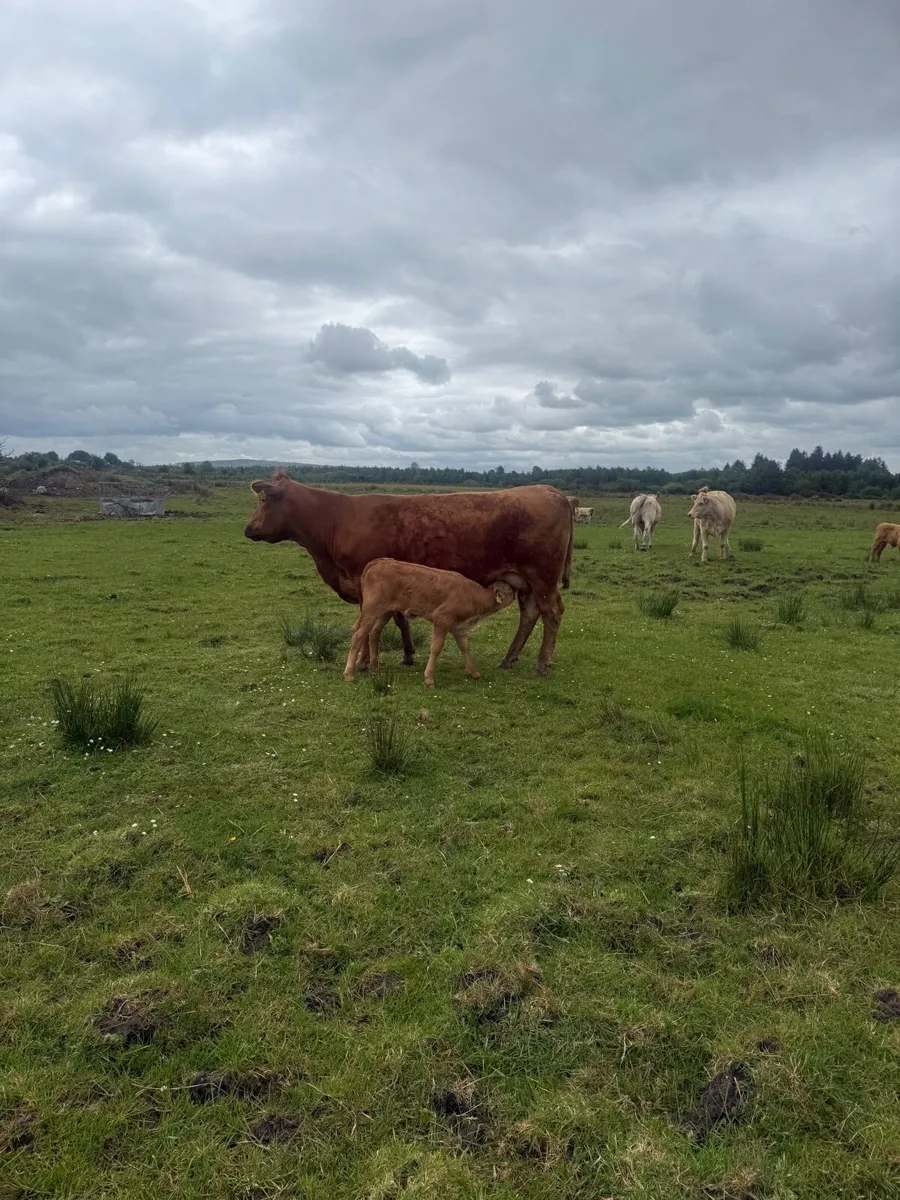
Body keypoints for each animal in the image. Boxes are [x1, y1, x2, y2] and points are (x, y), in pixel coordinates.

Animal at [244, 472, 573, 675]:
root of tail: (550, 490)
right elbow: (397, 619)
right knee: (529, 615)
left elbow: (369, 624)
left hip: (542, 576)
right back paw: (508, 659)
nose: (248, 528)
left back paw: (543, 663)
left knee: (551, 613)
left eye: (263, 501)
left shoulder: (364, 583)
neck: (336, 520)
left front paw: (364, 662)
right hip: (524, 581)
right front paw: (406, 653)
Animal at [344, 559, 516, 688]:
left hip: (385, 611)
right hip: (372, 610)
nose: (516, 593)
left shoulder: (459, 627)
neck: (473, 595)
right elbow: (436, 648)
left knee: (372, 632)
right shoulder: (442, 619)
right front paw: (429, 679)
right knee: (359, 635)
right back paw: (349, 674)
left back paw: (374, 668)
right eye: (509, 590)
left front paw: (474, 672)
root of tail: (380, 561)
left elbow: (465, 647)